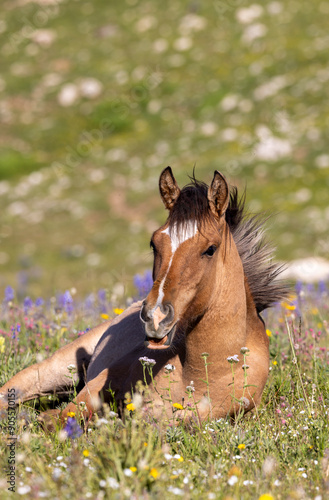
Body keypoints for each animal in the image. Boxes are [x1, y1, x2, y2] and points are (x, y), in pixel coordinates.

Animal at [0, 168, 288, 426]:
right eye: (154, 243)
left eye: (210, 249)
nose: (155, 317)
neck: (203, 372)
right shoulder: (99, 383)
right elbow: (58, 418)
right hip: (58, 368)